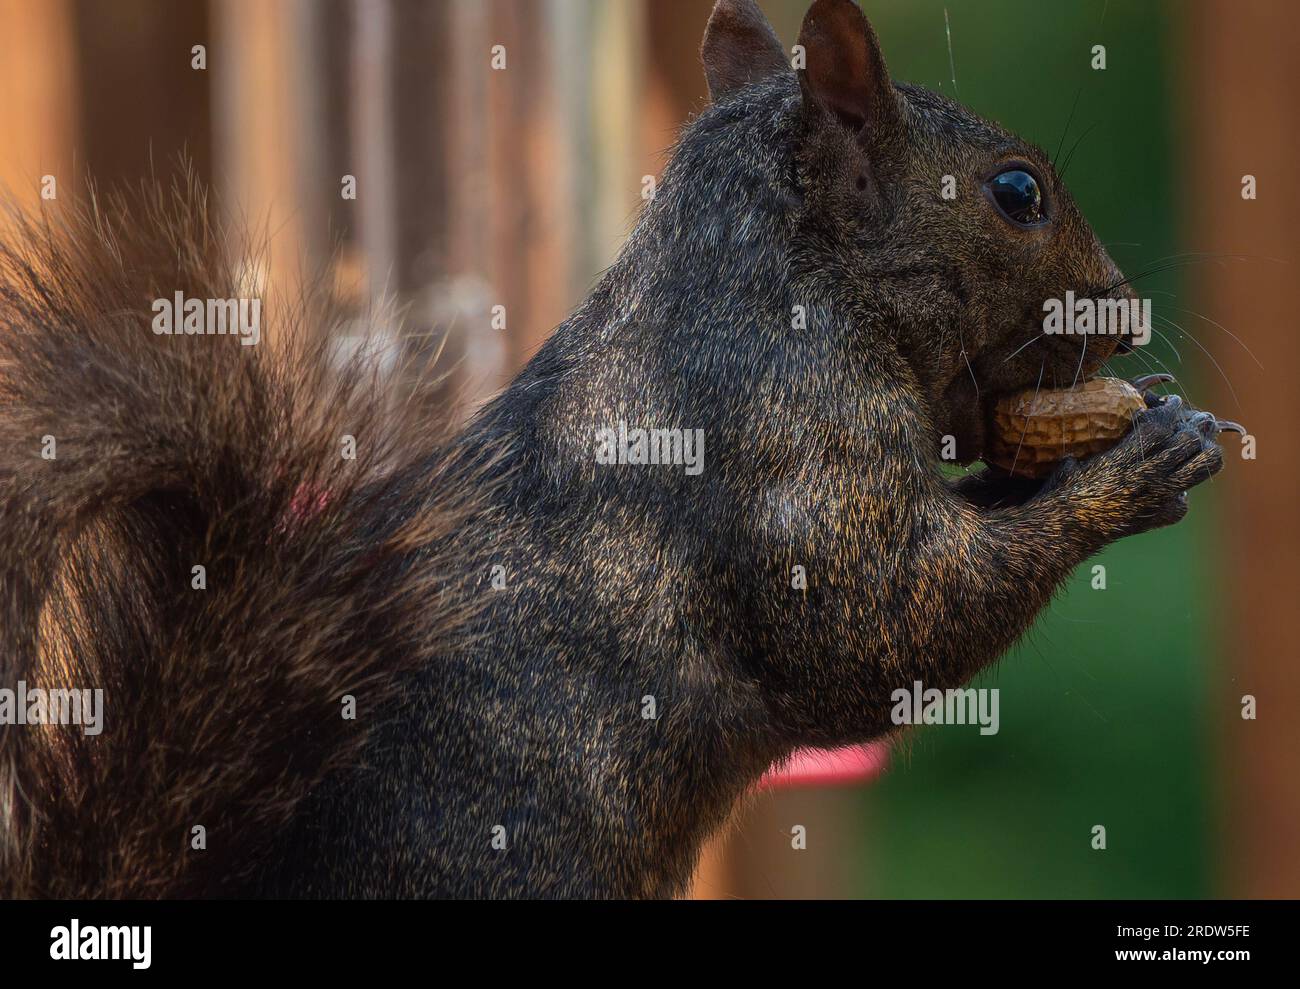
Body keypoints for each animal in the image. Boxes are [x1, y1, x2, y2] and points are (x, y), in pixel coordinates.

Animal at [0, 0, 1233, 899]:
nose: (1127, 317)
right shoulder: (783, 450)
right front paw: (1133, 471)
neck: (783, 291)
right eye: (1017, 194)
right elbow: (879, 626)